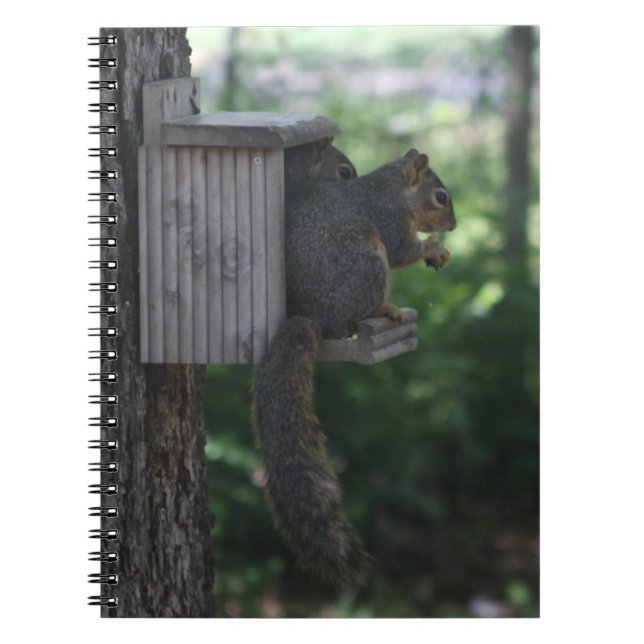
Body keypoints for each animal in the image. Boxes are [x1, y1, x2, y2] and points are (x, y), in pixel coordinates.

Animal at [253, 148, 456, 587]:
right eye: (440, 197)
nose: (454, 226)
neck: (394, 191)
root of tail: (314, 319)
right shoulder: (389, 225)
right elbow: (404, 251)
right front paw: (433, 247)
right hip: (365, 260)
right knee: (358, 311)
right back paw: (386, 310)